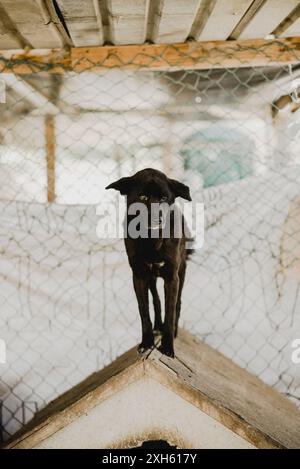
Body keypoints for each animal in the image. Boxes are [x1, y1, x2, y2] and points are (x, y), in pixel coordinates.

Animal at [105, 167, 192, 354]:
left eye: (164, 198)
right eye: (143, 197)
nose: (157, 218)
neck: (151, 240)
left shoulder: (172, 278)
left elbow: (170, 311)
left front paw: (167, 347)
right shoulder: (139, 275)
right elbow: (144, 310)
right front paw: (147, 342)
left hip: (181, 271)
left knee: (178, 303)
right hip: (152, 277)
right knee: (156, 300)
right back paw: (157, 326)